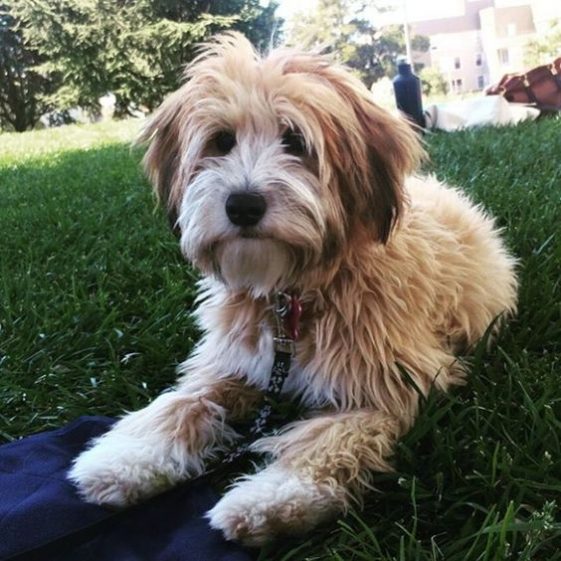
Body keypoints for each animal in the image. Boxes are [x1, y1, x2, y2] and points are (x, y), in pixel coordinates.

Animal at [68, 32, 520, 544]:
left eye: (295, 141)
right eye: (222, 140)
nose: (243, 205)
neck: (292, 297)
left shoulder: (396, 381)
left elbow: (331, 436)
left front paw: (274, 498)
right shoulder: (235, 361)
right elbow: (184, 400)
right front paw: (126, 460)